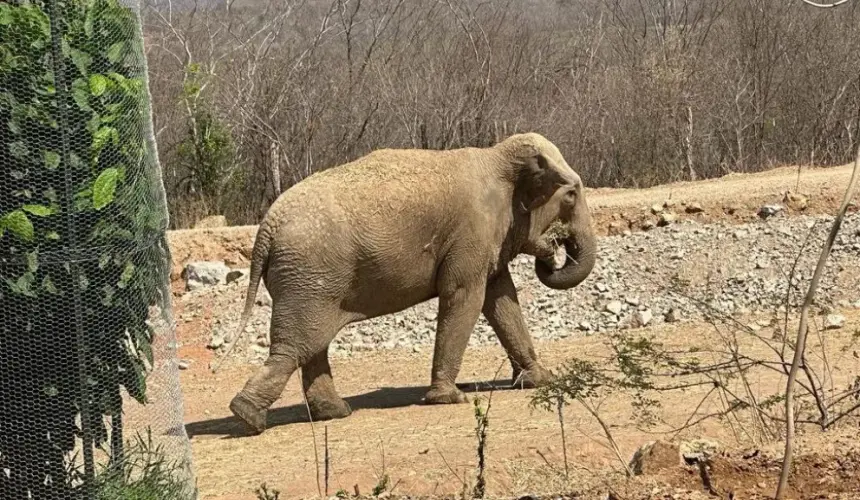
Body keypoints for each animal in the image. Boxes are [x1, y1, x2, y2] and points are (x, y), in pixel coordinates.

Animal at [220, 133, 596, 434]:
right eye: (571, 195)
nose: (554, 247)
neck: (497, 156)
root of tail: (266, 228)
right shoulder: (472, 232)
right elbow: (465, 297)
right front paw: (449, 399)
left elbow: (501, 299)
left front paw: (540, 379)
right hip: (309, 276)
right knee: (299, 345)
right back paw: (248, 417)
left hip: (306, 280)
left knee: (312, 344)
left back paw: (333, 413)